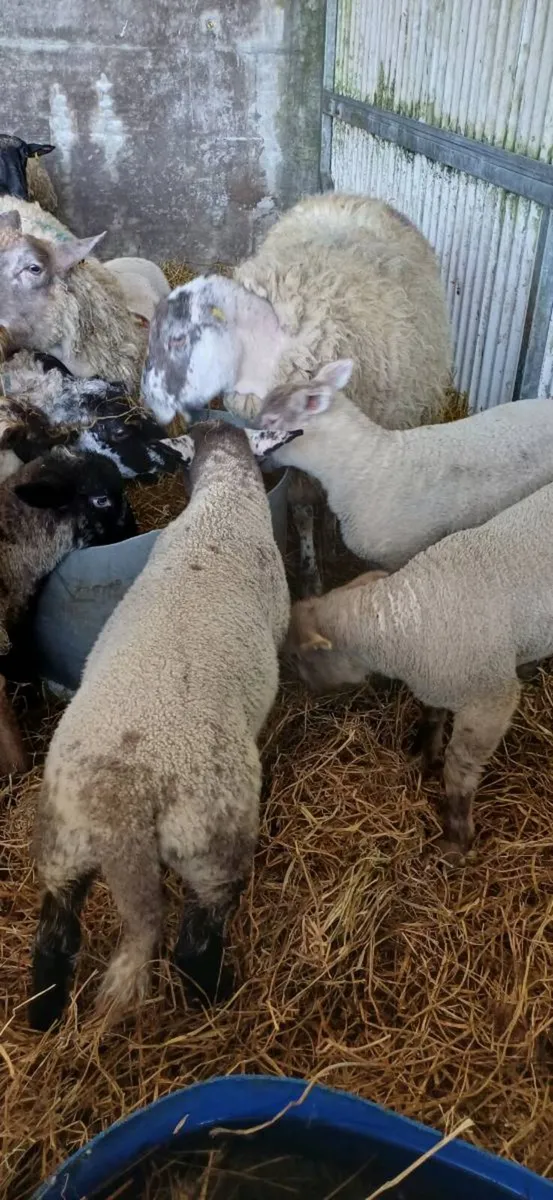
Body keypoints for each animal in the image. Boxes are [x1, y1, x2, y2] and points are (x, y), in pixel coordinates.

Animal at [28, 421, 290, 1031]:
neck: (223, 500)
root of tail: (122, 804)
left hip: (62, 843)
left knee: (52, 938)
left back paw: (43, 1014)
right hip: (211, 844)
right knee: (193, 944)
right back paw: (218, 998)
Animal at [285, 480, 553, 860]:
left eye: (295, 658)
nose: (304, 689)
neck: (408, 618)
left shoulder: (490, 700)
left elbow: (459, 768)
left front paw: (456, 839)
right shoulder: (433, 681)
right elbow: (431, 718)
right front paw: (423, 758)